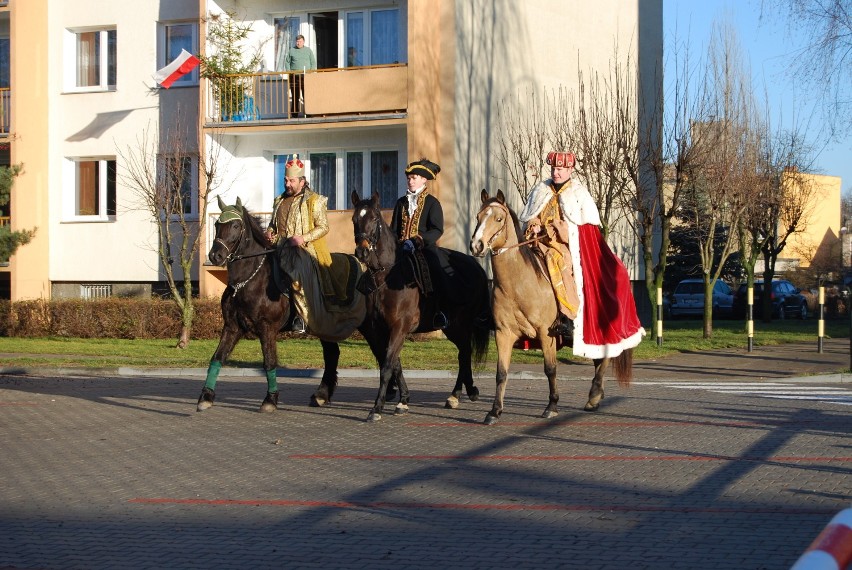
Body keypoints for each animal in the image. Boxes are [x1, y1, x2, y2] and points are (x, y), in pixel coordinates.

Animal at [198, 197, 344, 410]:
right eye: (217, 224)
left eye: (235, 225)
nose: (215, 256)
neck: (246, 282)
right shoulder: (232, 327)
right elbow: (217, 358)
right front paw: (206, 396)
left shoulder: (267, 328)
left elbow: (269, 362)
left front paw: (270, 399)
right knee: (332, 354)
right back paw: (321, 395)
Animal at [350, 189, 490, 420]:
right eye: (354, 219)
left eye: (375, 219)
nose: (362, 252)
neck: (386, 276)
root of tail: (476, 267)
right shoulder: (379, 330)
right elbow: (393, 364)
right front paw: (403, 400)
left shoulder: (399, 327)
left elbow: (387, 366)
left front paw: (377, 408)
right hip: (452, 327)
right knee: (464, 352)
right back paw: (462, 393)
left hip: (462, 323)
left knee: (465, 352)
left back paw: (461, 393)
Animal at [466, 189, 632, 424]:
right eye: (478, 217)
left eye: (498, 219)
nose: (477, 245)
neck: (519, 285)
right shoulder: (503, 333)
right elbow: (501, 373)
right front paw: (494, 411)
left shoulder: (546, 334)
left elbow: (550, 369)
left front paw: (552, 405)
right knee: (598, 359)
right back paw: (596, 396)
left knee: (605, 357)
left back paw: (593, 395)